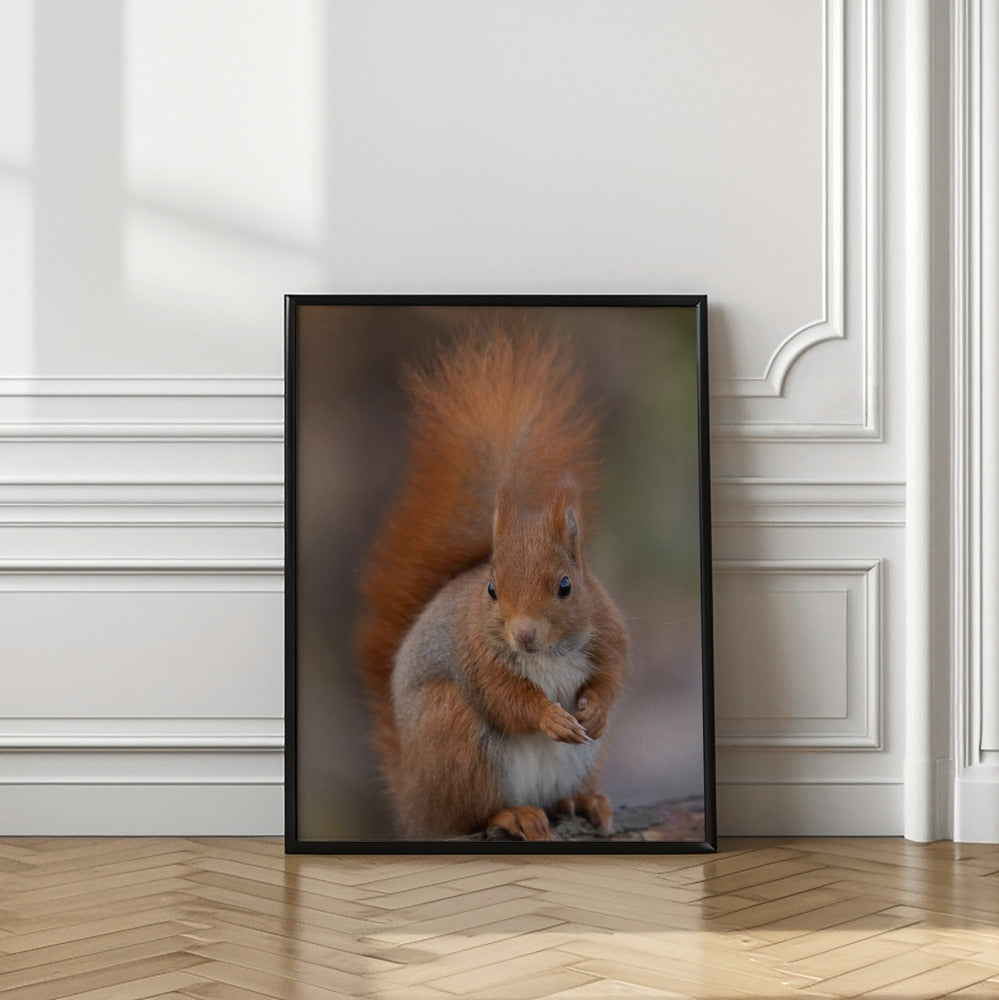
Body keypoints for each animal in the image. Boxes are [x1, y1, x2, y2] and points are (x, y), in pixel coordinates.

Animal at [356, 323, 629, 841]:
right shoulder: (477, 659)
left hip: (587, 758)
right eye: (492, 590)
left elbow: (613, 675)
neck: (547, 654)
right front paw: (548, 716)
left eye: (566, 585)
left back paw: (583, 800)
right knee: (471, 812)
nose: (524, 635)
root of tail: (414, 804)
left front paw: (597, 709)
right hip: (455, 734)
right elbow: (507, 701)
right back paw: (514, 814)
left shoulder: (608, 629)